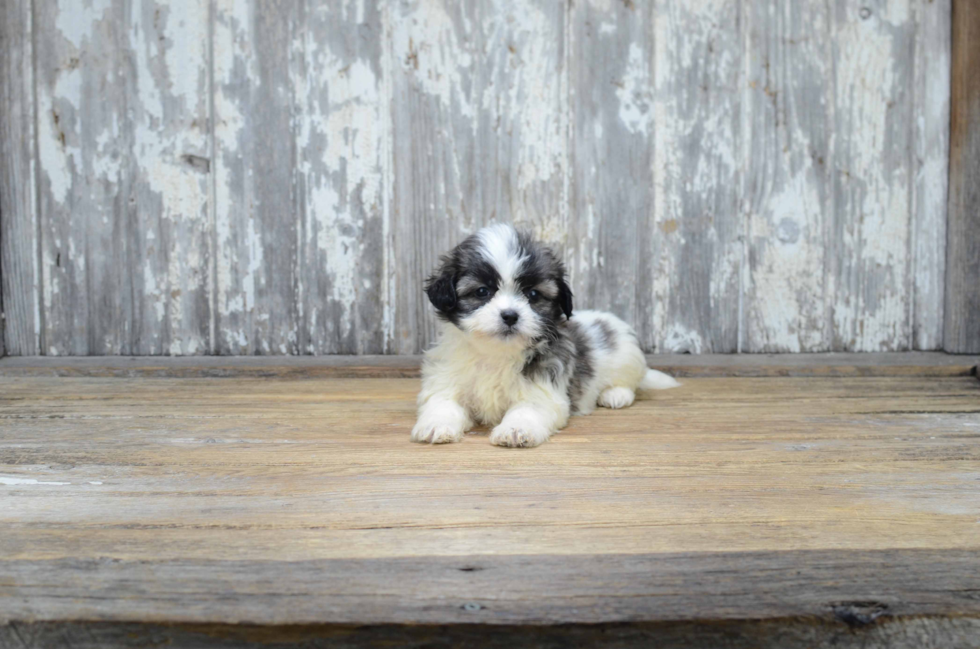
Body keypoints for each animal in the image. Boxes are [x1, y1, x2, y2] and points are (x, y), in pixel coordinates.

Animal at [410, 223, 676, 446]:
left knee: (630, 382)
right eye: (482, 291)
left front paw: (516, 429)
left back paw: (615, 394)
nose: (510, 315)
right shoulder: (445, 380)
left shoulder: (543, 388)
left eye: (533, 295)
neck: (496, 354)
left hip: (626, 356)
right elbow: (442, 403)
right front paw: (436, 425)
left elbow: (528, 409)